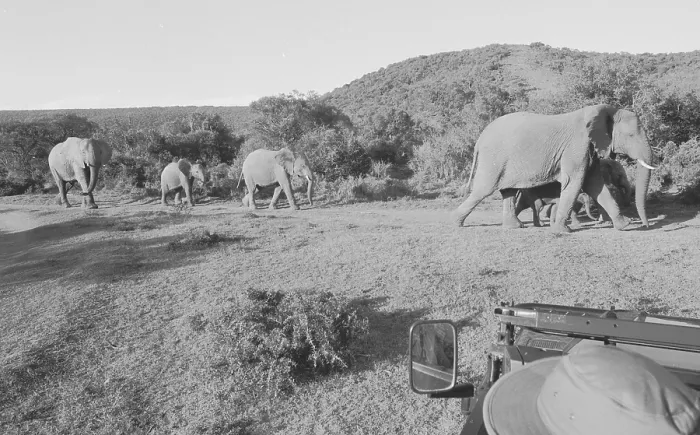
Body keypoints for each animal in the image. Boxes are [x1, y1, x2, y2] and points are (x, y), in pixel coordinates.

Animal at [451, 104, 657, 233]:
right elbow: (575, 182)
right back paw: (456, 223)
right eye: (631, 135)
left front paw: (625, 225)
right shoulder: (576, 147)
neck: (601, 111)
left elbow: (595, 185)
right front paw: (562, 231)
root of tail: (479, 140)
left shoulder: (588, 150)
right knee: (483, 190)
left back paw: (515, 227)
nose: (646, 225)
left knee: (507, 191)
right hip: (493, 159)